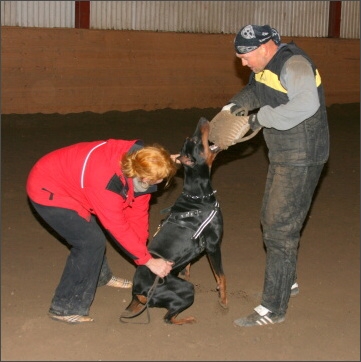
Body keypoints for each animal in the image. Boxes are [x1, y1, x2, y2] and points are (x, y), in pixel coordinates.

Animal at [121, 116, 228, 326]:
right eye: (194, 141)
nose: (203, 119)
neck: (198, 196)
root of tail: (138, 292)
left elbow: (187, 268)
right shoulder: (213, 245)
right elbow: (221, 276)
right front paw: (223, 300)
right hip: (186, 290)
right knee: (167, 318)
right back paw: (188, 319)